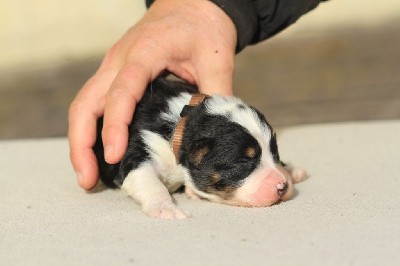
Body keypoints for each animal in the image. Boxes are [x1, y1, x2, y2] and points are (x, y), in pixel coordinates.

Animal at [94, 77, 306, 218]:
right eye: (243, 162)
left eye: (275, 152)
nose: (282, 186)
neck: (182, 124)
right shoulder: (139, 150)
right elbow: (148, 181)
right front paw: (166, 208)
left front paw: (290, 170)